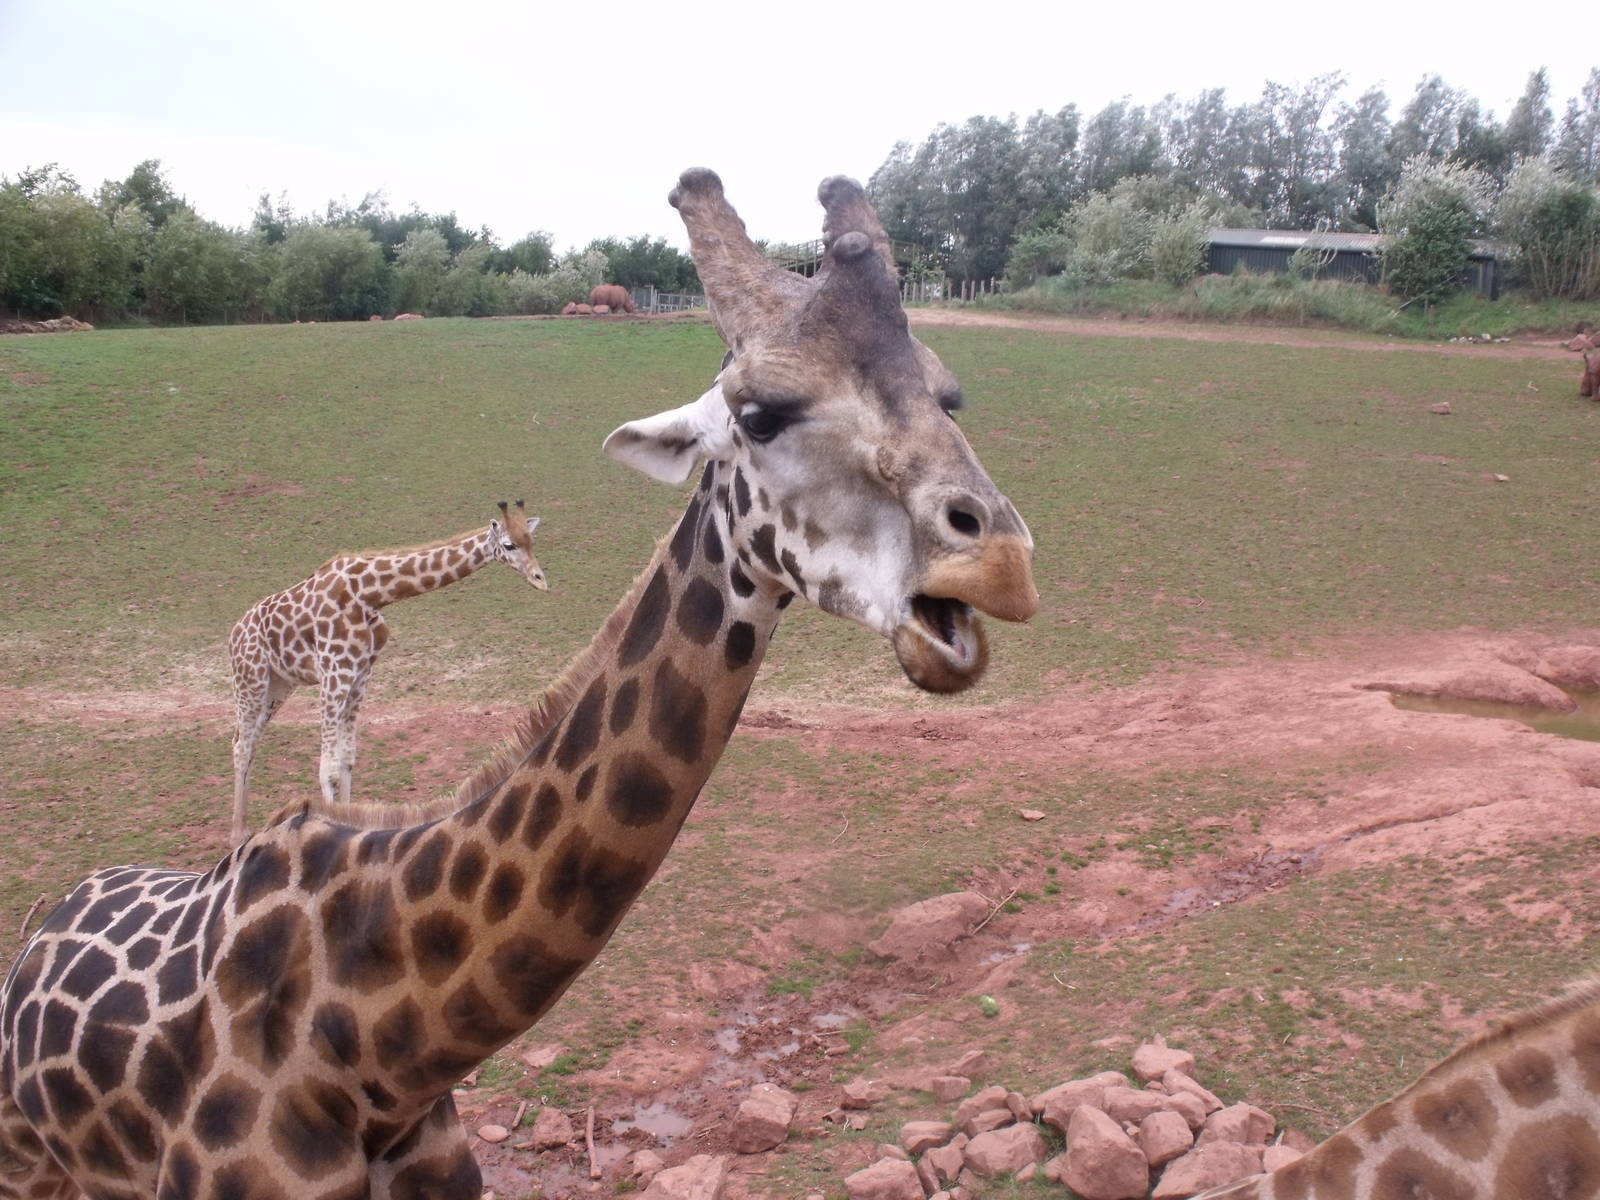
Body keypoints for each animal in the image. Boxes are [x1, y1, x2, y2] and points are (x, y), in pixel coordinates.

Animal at [227, 501, 547, 843]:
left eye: (532, 541)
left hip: (278, 686)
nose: (540, 579)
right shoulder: (333, 672)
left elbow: (347, 761)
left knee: (249, 741)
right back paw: (238, 835)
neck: (370, 594)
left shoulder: (360, 674)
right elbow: (328, 769)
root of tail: (233, 635)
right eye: (509, 545)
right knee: (241, 745)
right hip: (250, 680)